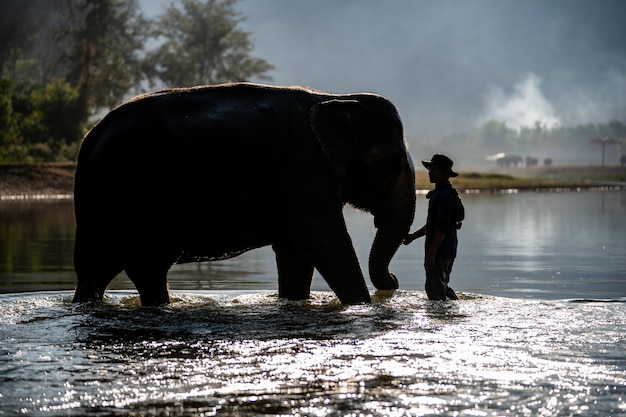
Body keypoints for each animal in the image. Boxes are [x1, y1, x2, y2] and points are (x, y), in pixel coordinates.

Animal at [73, 83, 414, 306]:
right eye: (392, 161)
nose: (394, 281)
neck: (334, 97)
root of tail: (91, 136)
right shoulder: (300, 166)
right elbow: (323, 241)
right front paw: (361, 305)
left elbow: (295, 251)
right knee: (146, 267)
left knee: (97, 271)